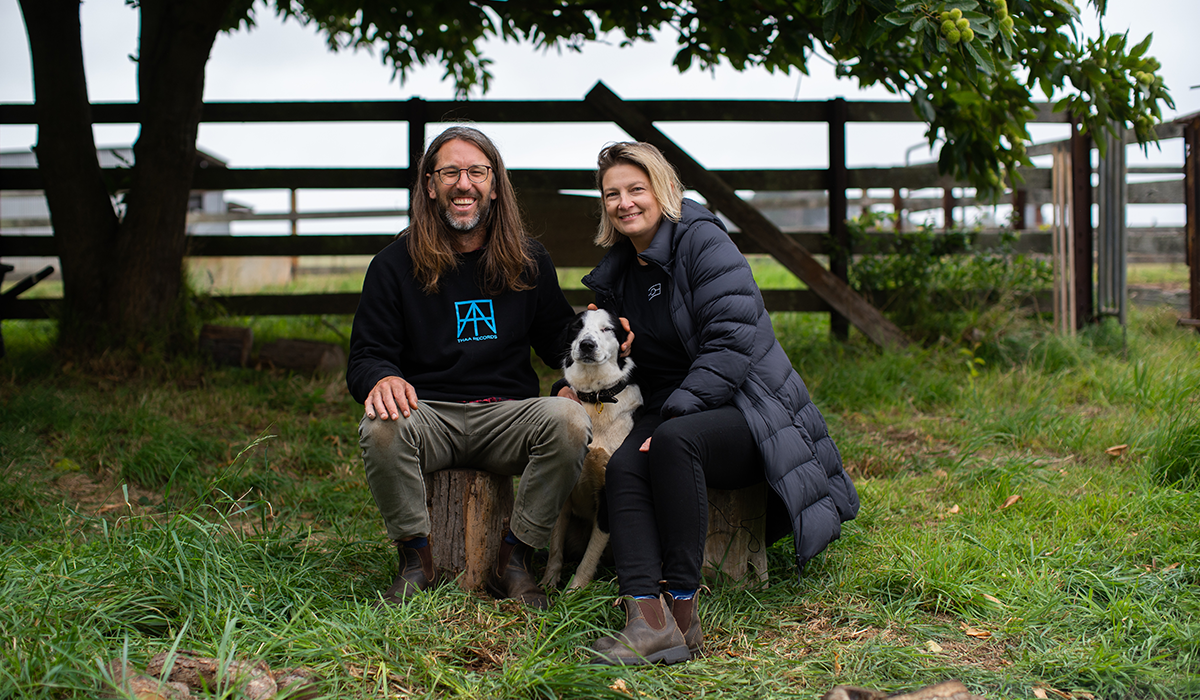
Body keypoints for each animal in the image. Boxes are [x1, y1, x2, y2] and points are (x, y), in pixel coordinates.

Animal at [540, 309, 643, 588]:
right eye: (577, 327)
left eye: (607, 329)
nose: (587, 344)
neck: (595, 397)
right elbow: (555, 549)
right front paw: (547, 585)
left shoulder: (608, 495)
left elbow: (590, 556)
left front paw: (574, 590)